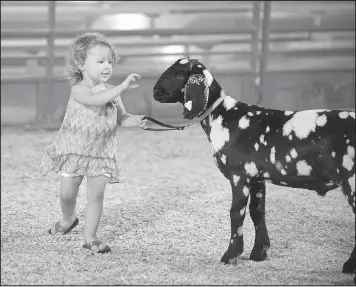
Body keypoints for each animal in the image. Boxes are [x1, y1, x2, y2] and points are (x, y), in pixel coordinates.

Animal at [153, 57, 356, 280]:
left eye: (180, 73)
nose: (156, 91)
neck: (223, 115)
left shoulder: (239, 175)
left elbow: (236, 212)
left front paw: (230, 255)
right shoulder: (257, 177)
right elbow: (257, 211)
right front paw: (259, 252)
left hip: (351, 180)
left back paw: (349, 266)